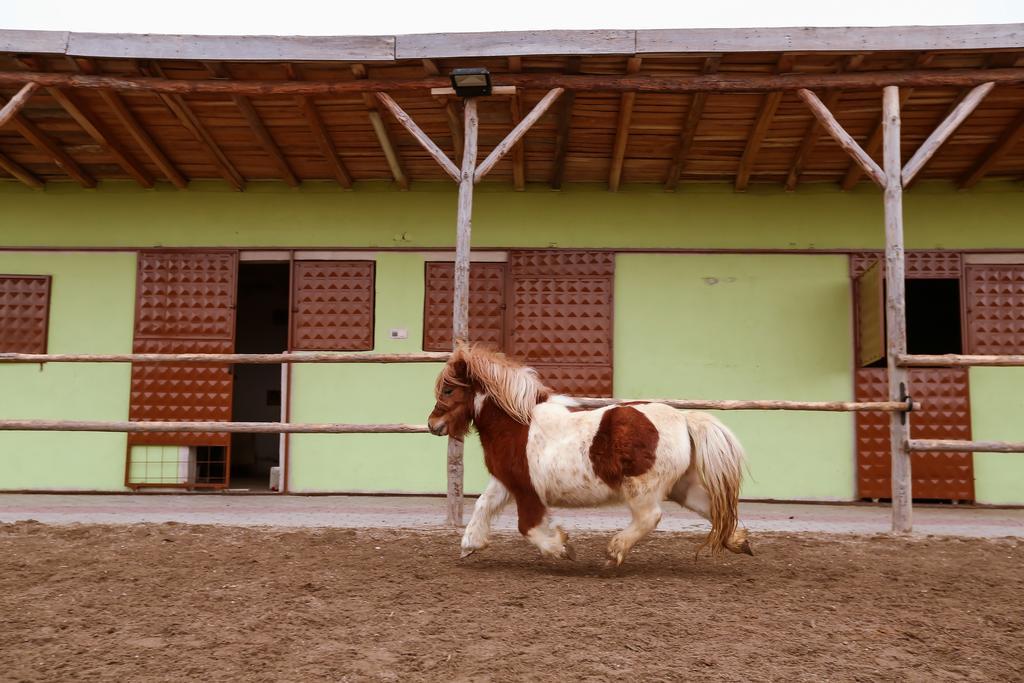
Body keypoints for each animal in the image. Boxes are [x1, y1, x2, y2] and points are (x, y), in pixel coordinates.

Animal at [423, 344, 753, 569]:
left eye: (449, 390)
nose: (432, 424)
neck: (517, 424)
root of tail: (684, 420)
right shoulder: (507, 482)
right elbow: (483, 504)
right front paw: (469, 544)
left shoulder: (527, 492)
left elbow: (527, 527)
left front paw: (561, 548)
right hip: (681, 486)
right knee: (712, 508)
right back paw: (739, 541)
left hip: (641, 488)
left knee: (650, 517)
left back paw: (614, 550)